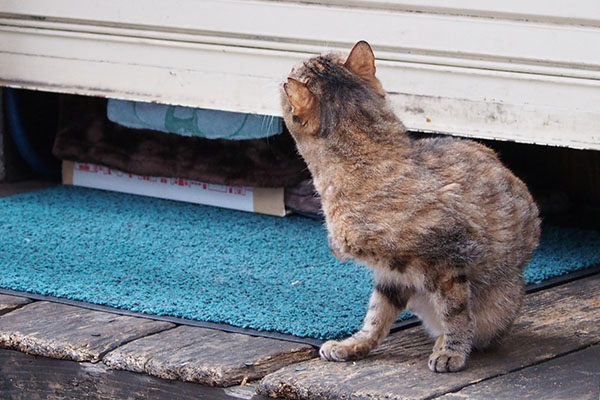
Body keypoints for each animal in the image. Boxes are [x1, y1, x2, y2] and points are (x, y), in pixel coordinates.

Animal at [284, 40, 540, 372]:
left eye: (292, 70)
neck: (369, 157)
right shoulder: (390, 274)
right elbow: (376, 316)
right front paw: (353, 345)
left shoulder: (446, 256)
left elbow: (456, 313)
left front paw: (451, 351)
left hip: (499, 302)